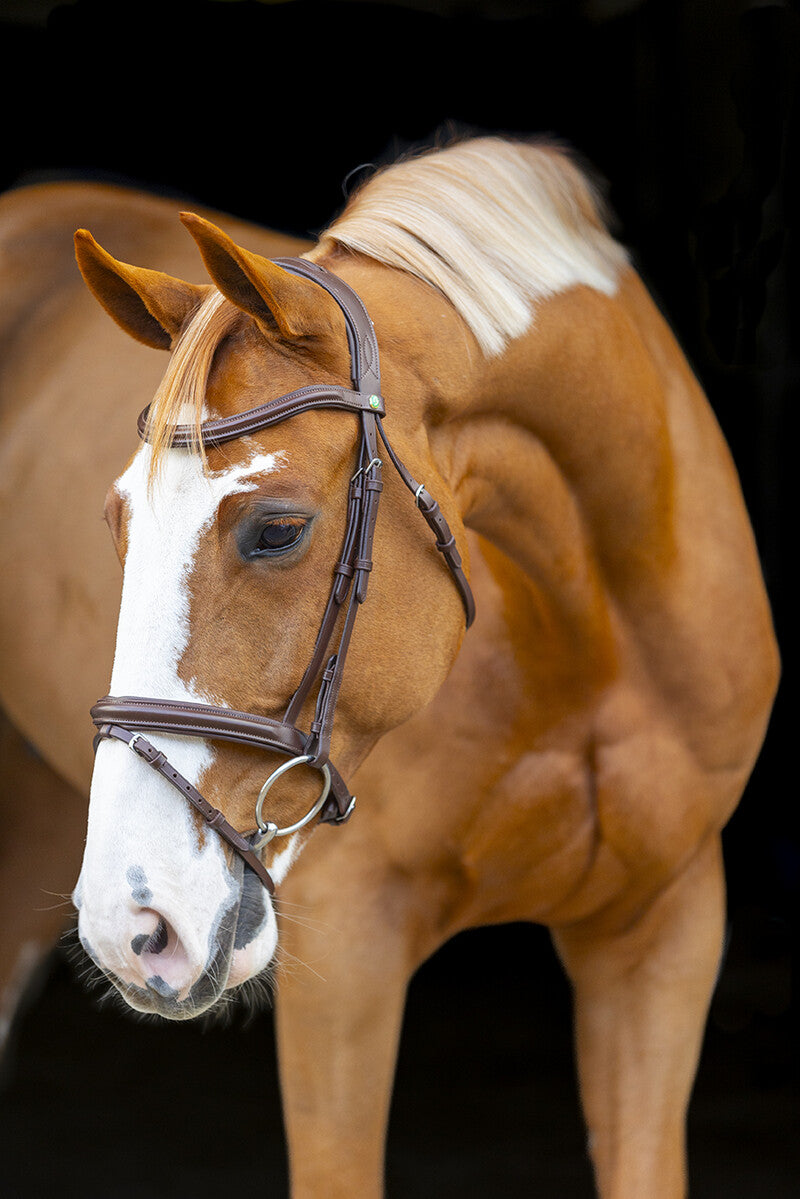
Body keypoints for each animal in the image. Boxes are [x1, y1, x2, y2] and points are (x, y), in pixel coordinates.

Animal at [0, 136, 777, 1194]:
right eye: (119, 520)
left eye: (277, 529)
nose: (135, 924)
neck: (595, 633)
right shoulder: (348, 955)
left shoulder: (664, 930)